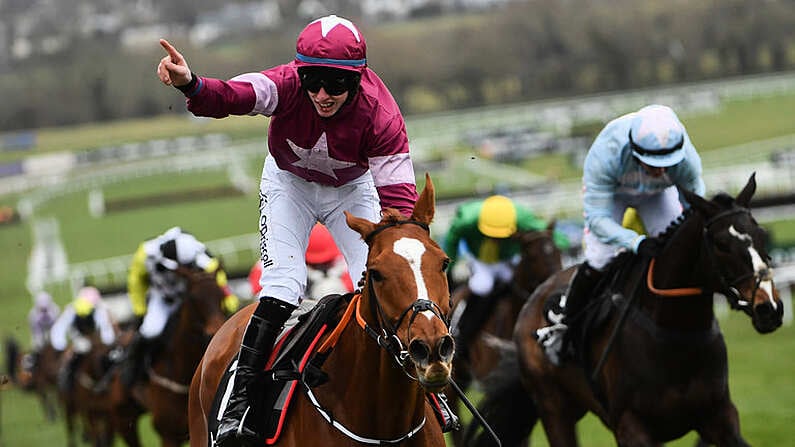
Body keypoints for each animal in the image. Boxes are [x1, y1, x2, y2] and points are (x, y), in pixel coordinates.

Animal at [466, 175, 784, 447]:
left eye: (761, 233)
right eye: (721, 244)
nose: (769, 307)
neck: (676, 333)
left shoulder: (720, 418)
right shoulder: (631, 427)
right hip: (554, 409)